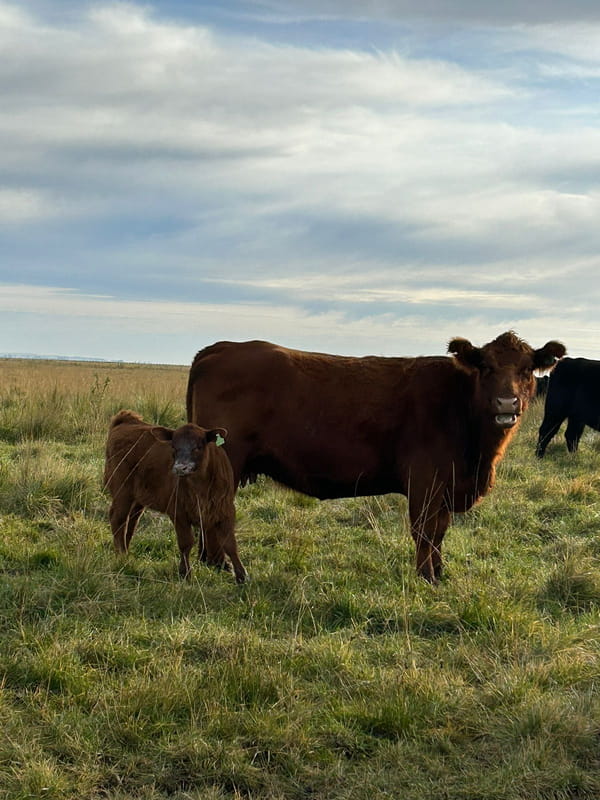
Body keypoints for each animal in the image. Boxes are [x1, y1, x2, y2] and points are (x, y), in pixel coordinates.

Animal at [103, 410, 247, 583]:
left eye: (198, 447)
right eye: (173, 446)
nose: (180, 467)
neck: (201, 488)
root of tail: (126, 421)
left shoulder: (225, 511)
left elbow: (230, 544)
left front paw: (242, 575)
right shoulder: (178, 513)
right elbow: (186, 543)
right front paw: (185, 573)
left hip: (137, 498)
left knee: (130, 522)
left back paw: (126, 552)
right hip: (122, 490)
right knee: (118, 519)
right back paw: (121, 556)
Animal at [186, 332, 565, 583]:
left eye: (527, 370)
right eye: (486, 367)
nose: (507, 403)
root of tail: (220, 347)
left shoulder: (446, 486)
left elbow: (440, 531)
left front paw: (440, 572)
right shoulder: (425, 481)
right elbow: (424, 531)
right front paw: (426, 577)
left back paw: (211, 562)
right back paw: (218, 564)